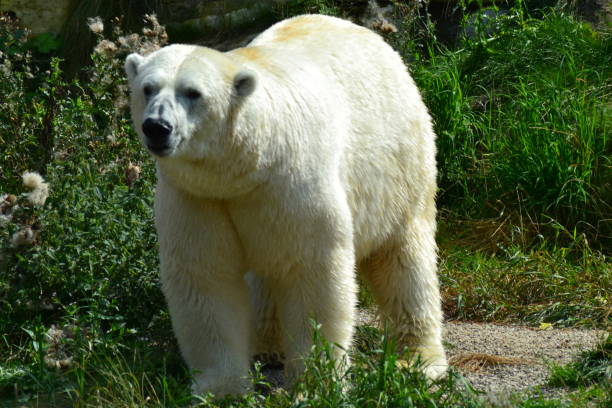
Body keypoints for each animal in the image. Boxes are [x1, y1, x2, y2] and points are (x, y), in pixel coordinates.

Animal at [125, 14, 450, 396]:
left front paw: (317, 383)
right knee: (262, 281)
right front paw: (220, 389)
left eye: (192, 93)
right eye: (148, 88)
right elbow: (205, 276)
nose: (157, 127)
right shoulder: (199, 197)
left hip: (400, 168)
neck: (246, 166)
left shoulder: (291, 182)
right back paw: (264, 346)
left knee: (403, 261)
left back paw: (417, 360)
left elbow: (310, 272)